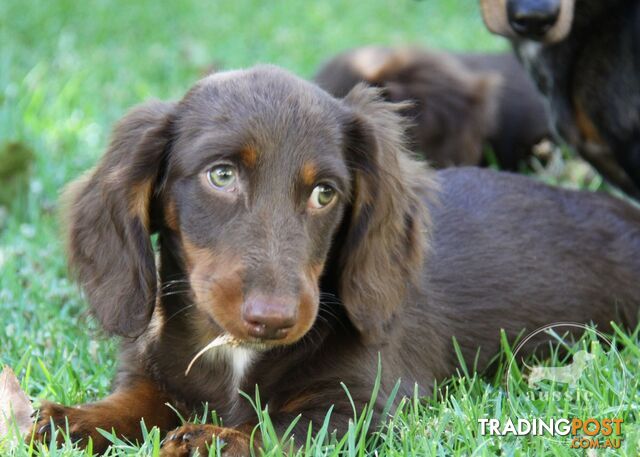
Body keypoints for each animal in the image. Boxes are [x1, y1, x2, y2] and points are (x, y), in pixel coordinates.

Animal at [31, 66, 640, 454]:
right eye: (221, 175)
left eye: (324, 193)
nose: (273, 319)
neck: (232, 352)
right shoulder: (152, 375)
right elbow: (129, 404)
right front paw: (66, 420)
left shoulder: (364, 403)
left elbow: (282, 431)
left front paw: (214, 440)